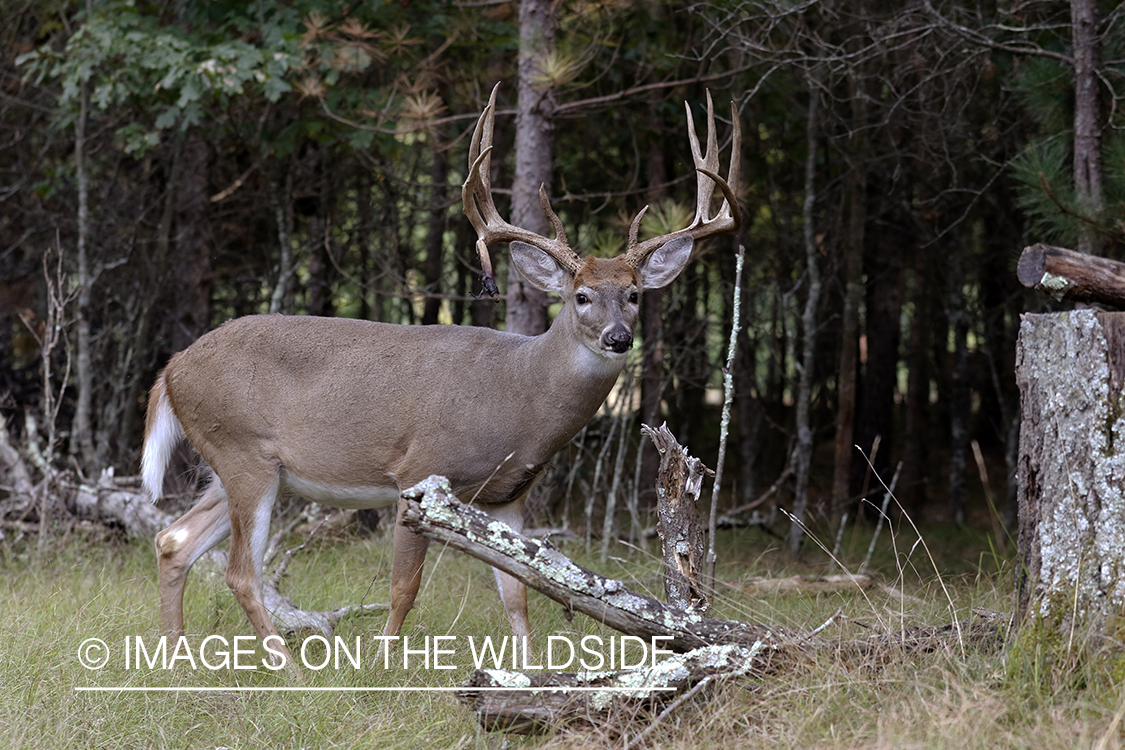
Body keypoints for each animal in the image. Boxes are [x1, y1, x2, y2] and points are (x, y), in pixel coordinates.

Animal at [138, 84, 738, 665]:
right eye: (582, 296)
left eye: (634, 294)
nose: (618, 337)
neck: (519, 399)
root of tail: (171, 367)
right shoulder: (419, 472)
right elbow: (405, 587)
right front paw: (381, 666)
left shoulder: (508, 496)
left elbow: (518, 592)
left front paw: (527, 672)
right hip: (242, 450)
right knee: (240, 571)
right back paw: (286, 667)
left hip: (241, 463)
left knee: (174, 540)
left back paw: (176, 660)